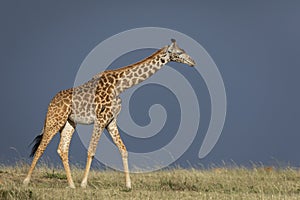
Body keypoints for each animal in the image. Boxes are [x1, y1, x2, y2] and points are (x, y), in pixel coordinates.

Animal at [24, 39, 197, 189]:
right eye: (180, 52)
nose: (193, 62)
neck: (120, 86)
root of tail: (50, 103)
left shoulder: (111, 121)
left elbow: (123, 149)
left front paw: (128, 185)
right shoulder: (101, 119)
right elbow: (91, 150)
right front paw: (84, 184)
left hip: (69, 123)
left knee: (62, 149)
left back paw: (71, 185)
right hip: (55, 119)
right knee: (41, 147)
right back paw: (26, 181)